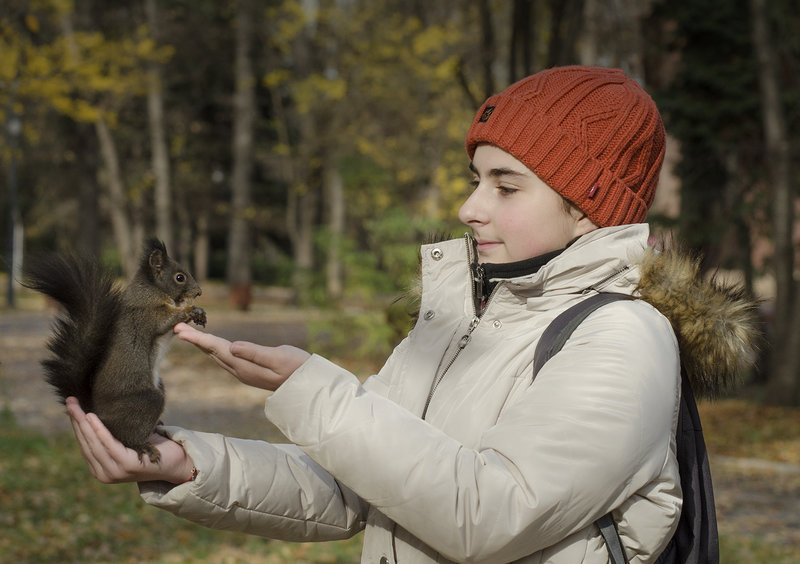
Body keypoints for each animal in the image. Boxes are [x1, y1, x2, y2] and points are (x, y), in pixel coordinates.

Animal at [23, 238, 207, 463]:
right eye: (179, 277)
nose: (198, 292)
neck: (151, 289)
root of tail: (97, 414)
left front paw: (199, 312)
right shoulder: (147, 313)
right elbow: (166, 320)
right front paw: (190, 310)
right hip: (147, 401)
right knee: (123, 435)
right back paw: (142, 445)